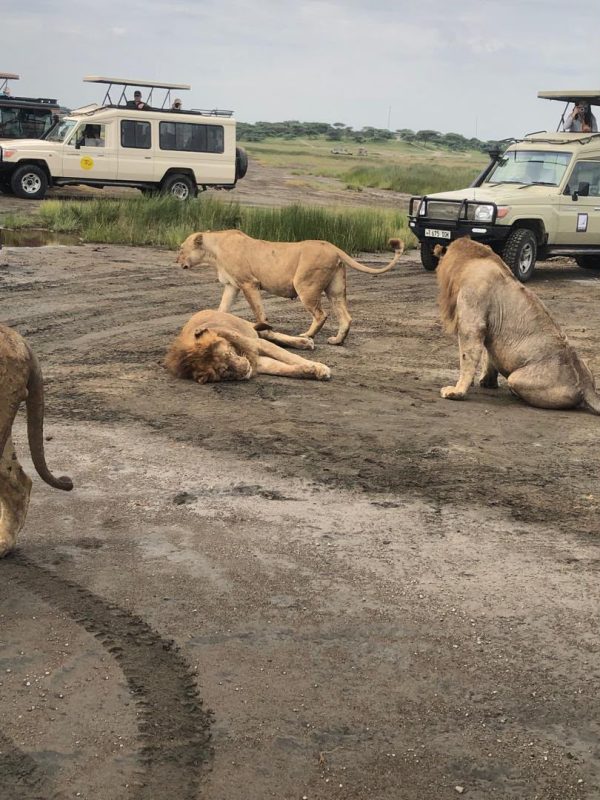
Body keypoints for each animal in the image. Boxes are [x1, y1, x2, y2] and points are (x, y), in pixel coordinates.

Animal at [165, 310, 332, 383]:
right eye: (224, 371)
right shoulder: (259, 362)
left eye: (228, 353)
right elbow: (284, 369)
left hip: (247, 327)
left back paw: (305, 341)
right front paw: (312, 371)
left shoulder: (257, 344)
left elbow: (290, 356)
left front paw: (321, 368)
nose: (245, 368)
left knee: (269, 333)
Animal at [176, 229, 404, 345]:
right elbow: (222, 309)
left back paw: (307, 336)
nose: (176, 261)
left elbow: (258, 311)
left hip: (305, 285)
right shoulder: (232, 285)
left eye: (181, 248)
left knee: (321, 314)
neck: (213, 250)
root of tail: (333, 247)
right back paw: (337, 341)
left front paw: (264, 329)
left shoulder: (249, 283)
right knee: (346, 317)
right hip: (336, 290)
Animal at [434, 237, 600, 413]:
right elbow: (488, 355)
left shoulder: (472, 319)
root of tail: (587, 386)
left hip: (516, 378)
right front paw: (487, 382)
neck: (471, 261)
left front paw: (456, 391)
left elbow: (467, 357)